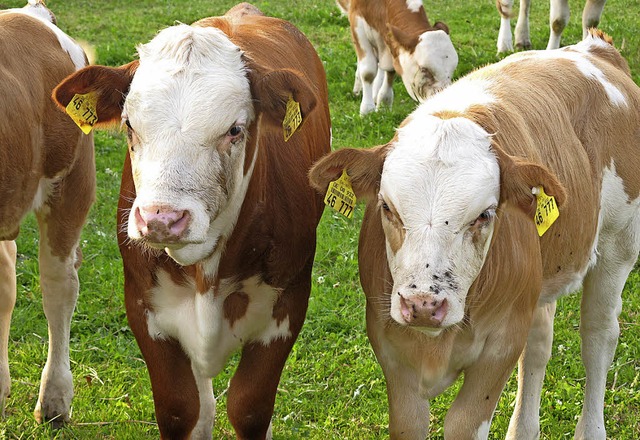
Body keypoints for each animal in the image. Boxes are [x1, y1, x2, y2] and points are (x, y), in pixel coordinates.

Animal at [53, 4, 330, 440]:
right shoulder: (144, 308)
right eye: (129, 125)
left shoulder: (287, 306)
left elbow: (250, 408)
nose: (162, 219)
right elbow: (180, 408)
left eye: (234, 129)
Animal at [312, 29, 640, 438]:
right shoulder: (391, 349)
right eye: (386, 207)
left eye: (484, 214)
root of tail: (595, 47)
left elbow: (463, 424)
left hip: (618, 246)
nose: (423, 305)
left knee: (598, 336)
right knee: (539, 344)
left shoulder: (499, 347)